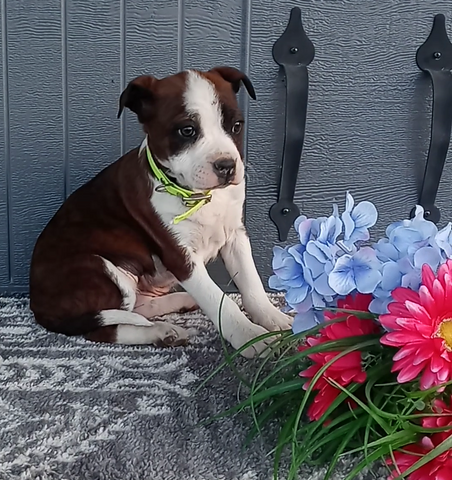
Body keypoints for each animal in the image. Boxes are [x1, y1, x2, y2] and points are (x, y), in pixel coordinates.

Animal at [28, 66, 292, 356]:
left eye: (236, 126)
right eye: (187, 130)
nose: (227, 166)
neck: (198, 195)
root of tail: (38, 308)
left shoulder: (235, 235)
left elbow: (251, 283)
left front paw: (274, 319)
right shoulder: (181, 256)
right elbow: (220, 301)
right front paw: (251, 337)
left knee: (139, 309)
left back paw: (176, 312)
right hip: (100, 268)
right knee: (106, 328)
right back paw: (159, 332)